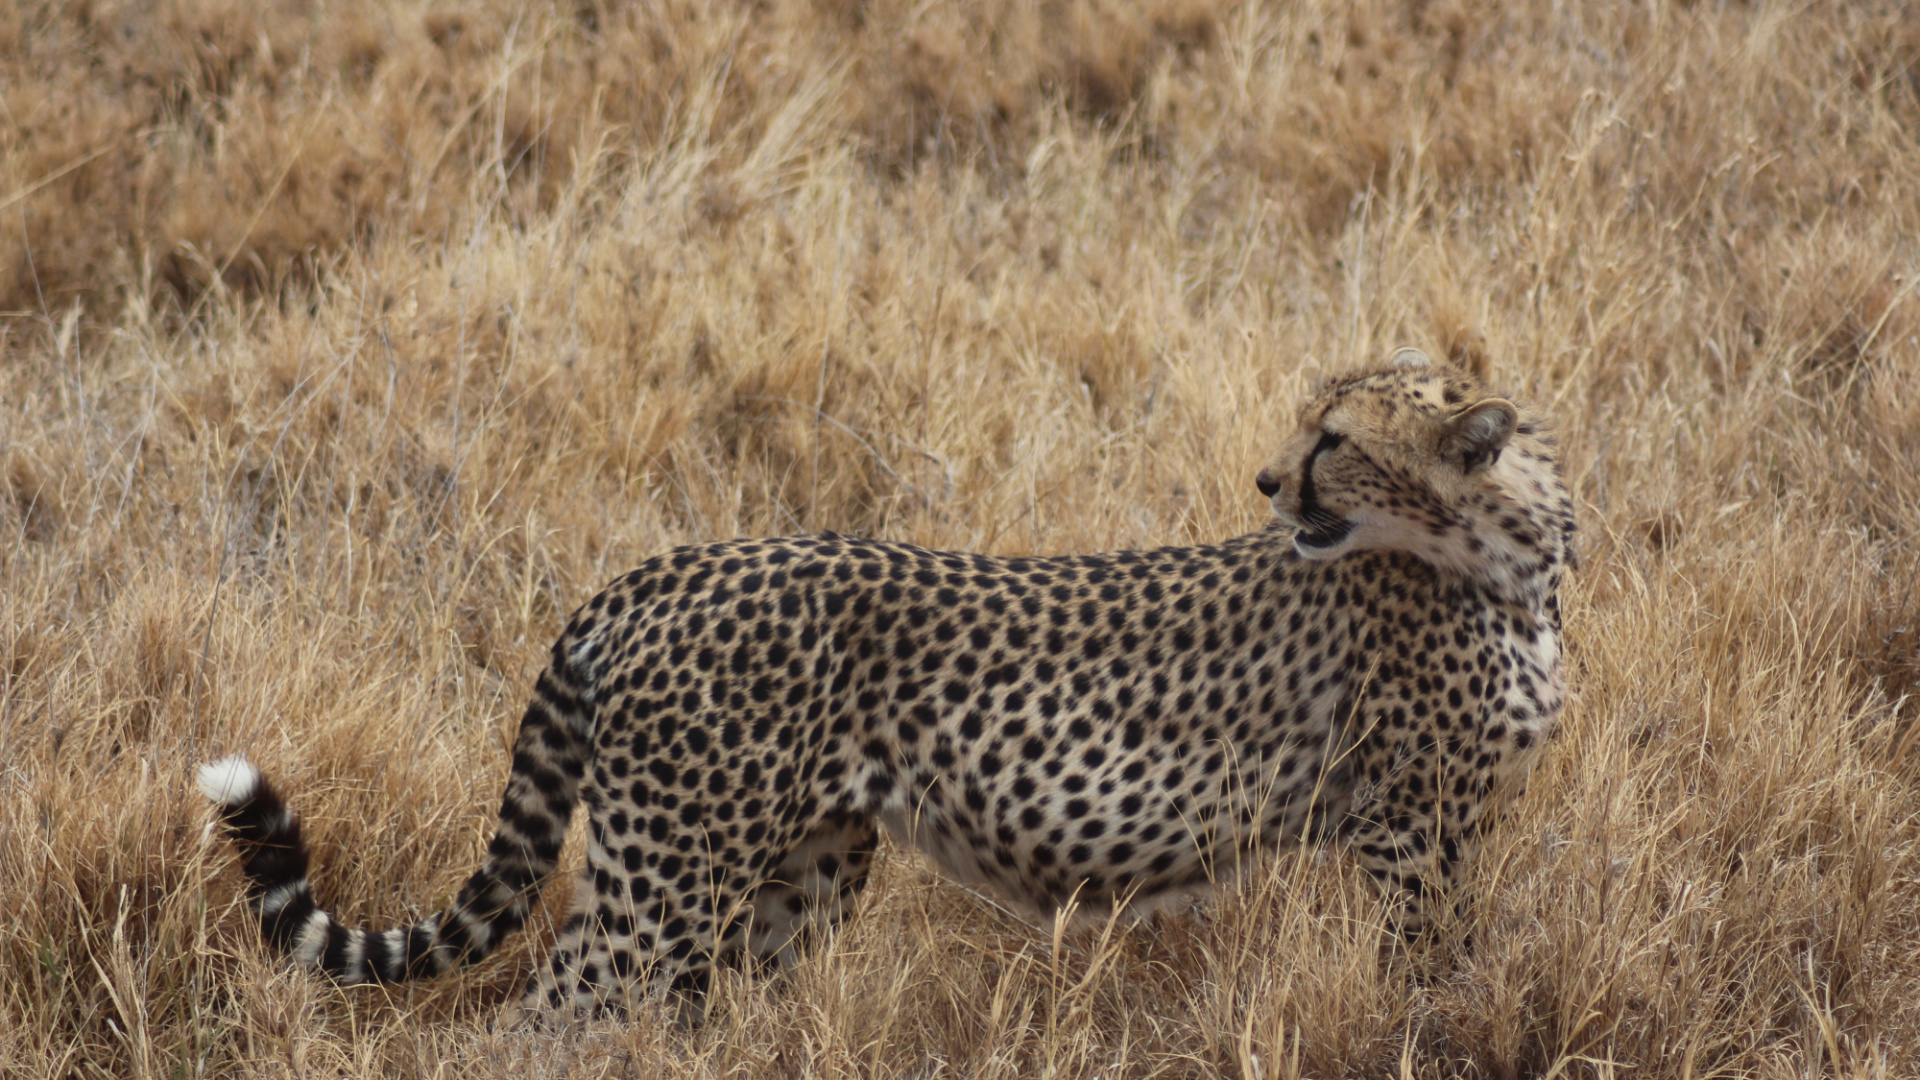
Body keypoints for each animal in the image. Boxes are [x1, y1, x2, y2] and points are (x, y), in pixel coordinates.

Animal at [198, 351, 1574, 1006]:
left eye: (1334, 440)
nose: (1268, 482)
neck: (1514, 560)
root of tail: (665, 565)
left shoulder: (1427, 825)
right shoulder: (1408, 826)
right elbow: (1431, 970)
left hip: (803, 867)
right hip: (671, 872)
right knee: (556, 1019)